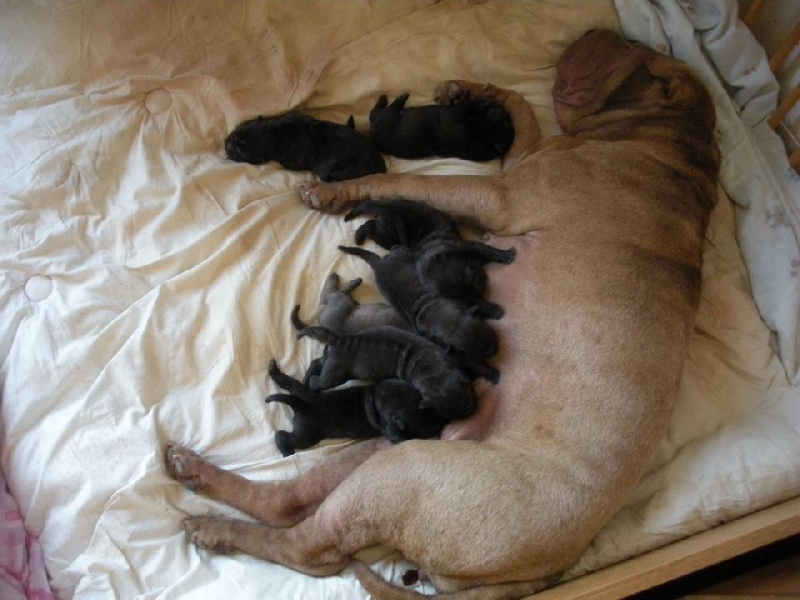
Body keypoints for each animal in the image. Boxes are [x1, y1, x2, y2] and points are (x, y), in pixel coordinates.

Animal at [266, 360, 446, 454]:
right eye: (429, 428)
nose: (443, 420)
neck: (380, 398)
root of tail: (302, 404)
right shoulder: (390, 428)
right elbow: (399, 437)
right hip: (307, 435)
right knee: (282, 436)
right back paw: (287, 452)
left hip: (303, 392)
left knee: (290, 383)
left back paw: (274, 370)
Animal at [368, 92, 512, 161]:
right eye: (506, 121)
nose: (502, 110)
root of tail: (371, 133)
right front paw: (485, 100)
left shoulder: (455, 118)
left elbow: (467, 105)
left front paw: (480, 101)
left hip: (387, 116)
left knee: (379, 110)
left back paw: (396, 97)